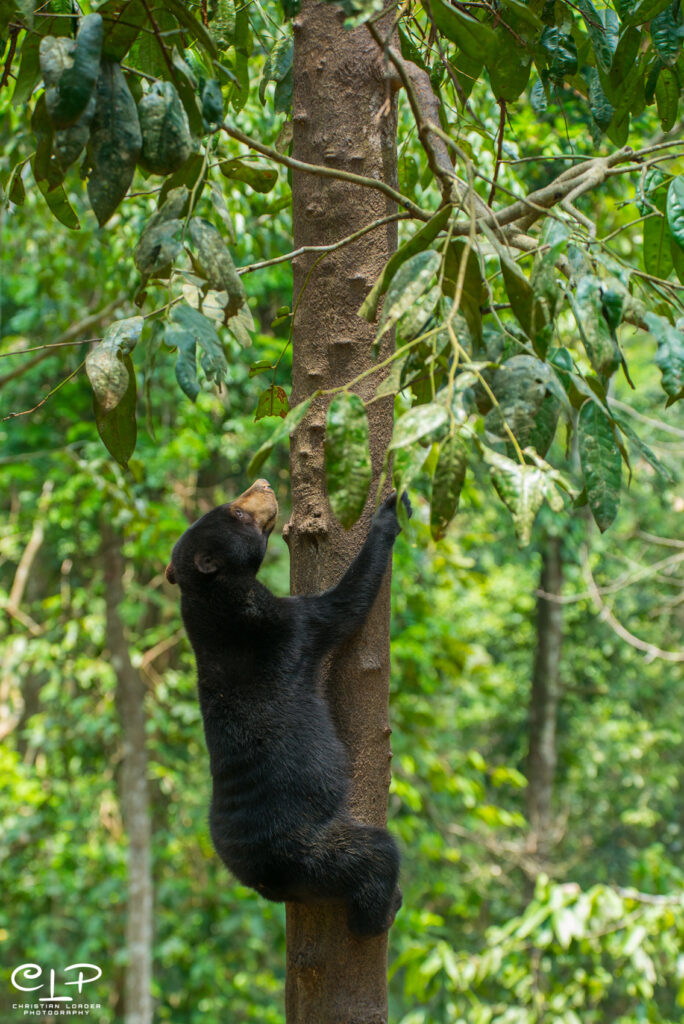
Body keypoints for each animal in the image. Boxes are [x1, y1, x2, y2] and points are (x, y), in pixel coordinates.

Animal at [165, 478, 410, 937]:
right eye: (236, 513)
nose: (262, 483)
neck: (215, 603)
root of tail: (264, 879)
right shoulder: (289, 625)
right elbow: (345, 605)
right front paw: (390, 511)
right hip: (316, 851)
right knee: (376, 854)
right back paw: (382, 913)